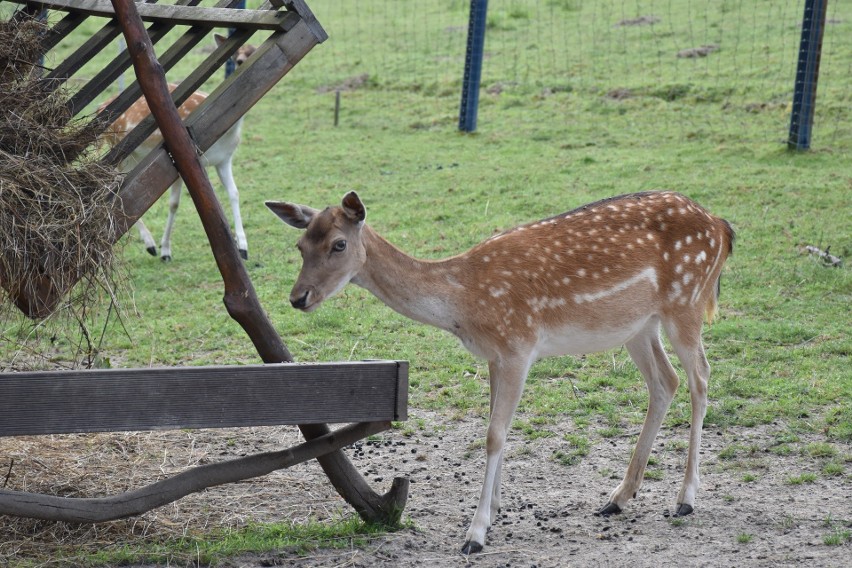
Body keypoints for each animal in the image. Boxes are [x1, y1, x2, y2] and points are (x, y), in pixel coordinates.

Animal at [98, 36, 255, 262]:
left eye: (252, 51)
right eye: (236, 57)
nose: (243, 62)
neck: (227, 135)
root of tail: (100, 108)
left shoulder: (225, 159)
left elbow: (234, 192)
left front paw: (243, 247)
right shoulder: (186, 159)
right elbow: (176, 203)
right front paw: (165, 250)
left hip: (132, 158)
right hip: (119, 154)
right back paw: (150, 245)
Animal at [264, 191, 732, 556]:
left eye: (339, 244)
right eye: (300, 245)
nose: (298, 297)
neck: (464, 303)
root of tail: (721, 227)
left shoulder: (518, 345)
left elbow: (493, 434)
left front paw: (475, 533)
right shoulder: (494, 355)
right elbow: (496, 430)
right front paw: (497, 508)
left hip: (686, 303)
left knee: (700, 378)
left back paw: (686, 498)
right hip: (637, 325)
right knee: (664, 382)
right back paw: (617, 498)